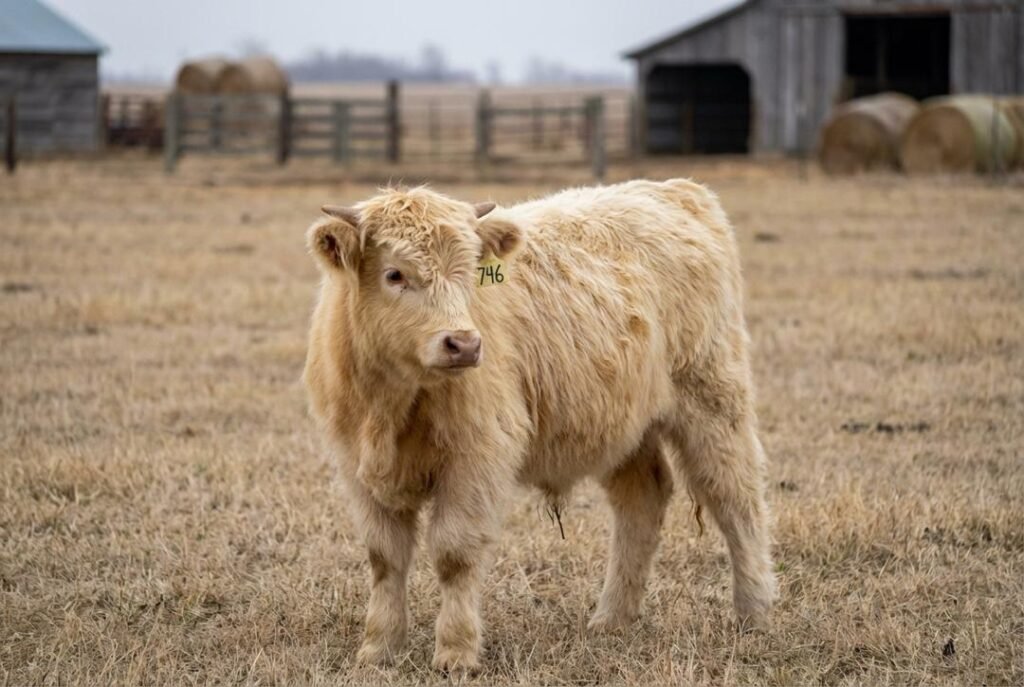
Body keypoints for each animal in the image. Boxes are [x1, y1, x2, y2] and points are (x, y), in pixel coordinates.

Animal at [303, 179, 776, 672]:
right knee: (642, 499)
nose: (464, 344)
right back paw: (612, 618)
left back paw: (754, 611)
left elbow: (455, 553)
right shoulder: (357, 467)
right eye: (394, 274)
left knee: (736, 499)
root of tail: (675, 190)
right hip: (625, 428)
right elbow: (385, 558)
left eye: (471, 271)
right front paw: (379, 647)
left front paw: (455, 651)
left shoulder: (477, 459)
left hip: (713, 401)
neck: (391, 406)